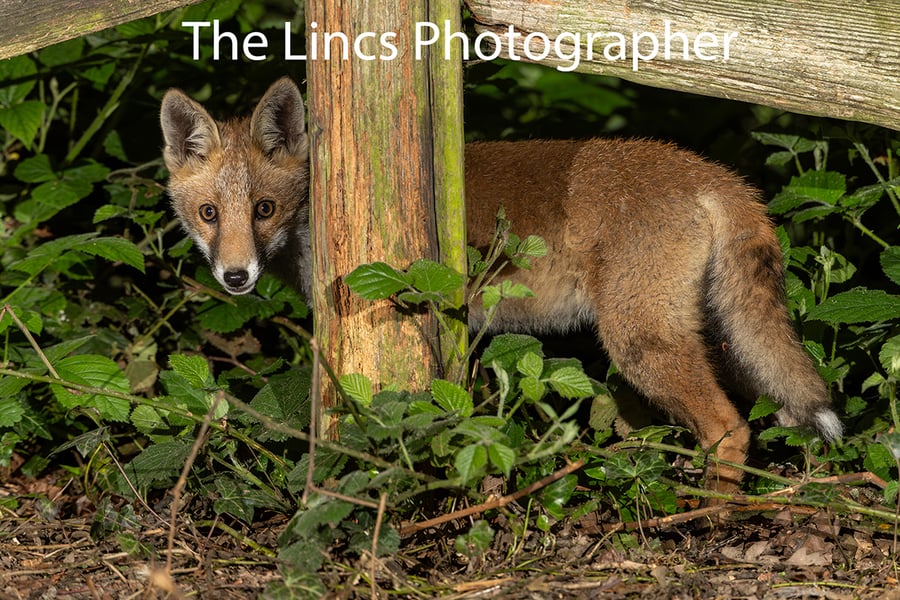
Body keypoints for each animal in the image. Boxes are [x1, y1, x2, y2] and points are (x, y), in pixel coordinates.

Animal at [161, 77, 841, 493]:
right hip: (706, 335)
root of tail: (712, 172)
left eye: (265, 210)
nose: (236, 275)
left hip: (640, 341)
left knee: (731, 428)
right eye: (209, 214)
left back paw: (710, 517)